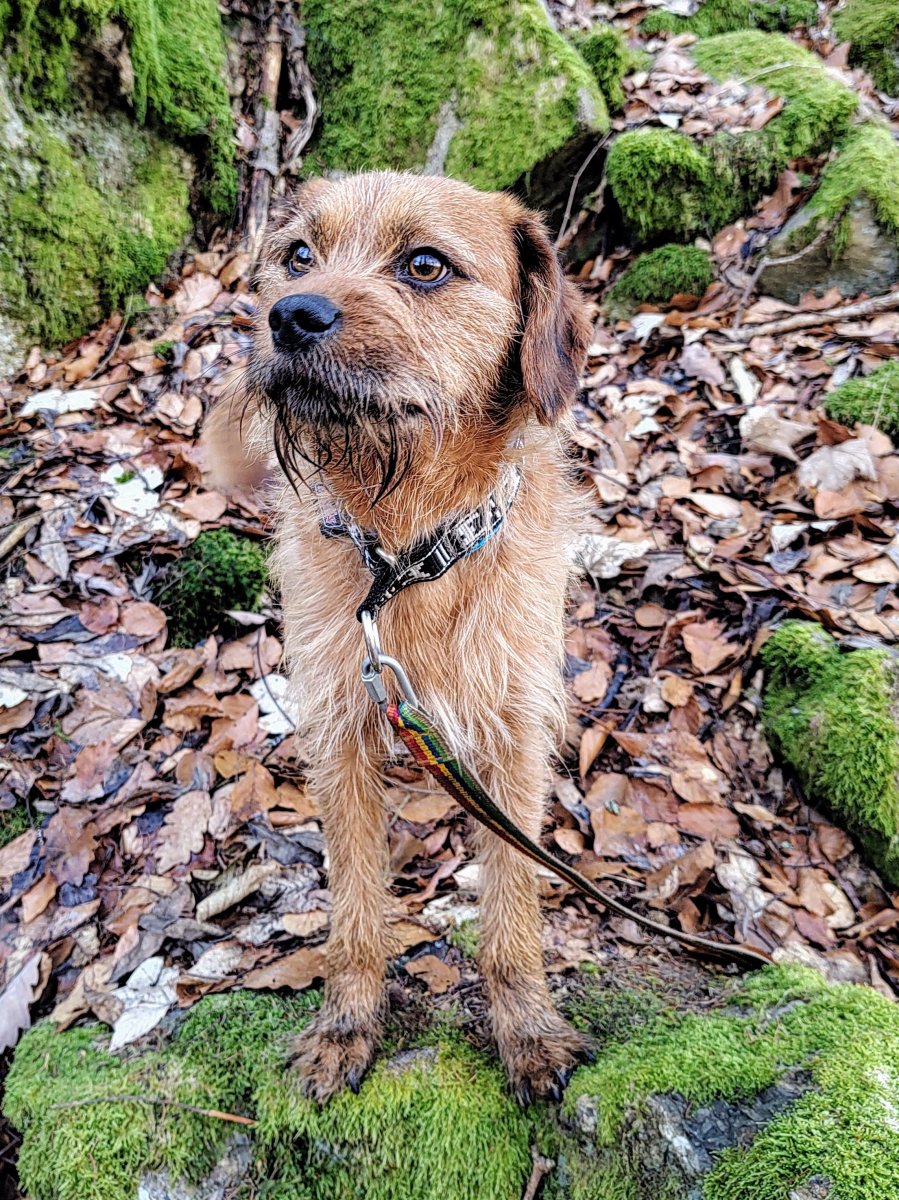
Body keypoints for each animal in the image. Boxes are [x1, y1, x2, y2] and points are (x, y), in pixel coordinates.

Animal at [204, 171, 593, 1103]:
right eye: (297, 256)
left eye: (424, 265)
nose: (290, 315)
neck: (410, 549)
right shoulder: (340, 729)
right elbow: (353, 901)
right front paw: (347, 1024)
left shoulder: (513, 734)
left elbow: (512, 898)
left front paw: (526, 1027)